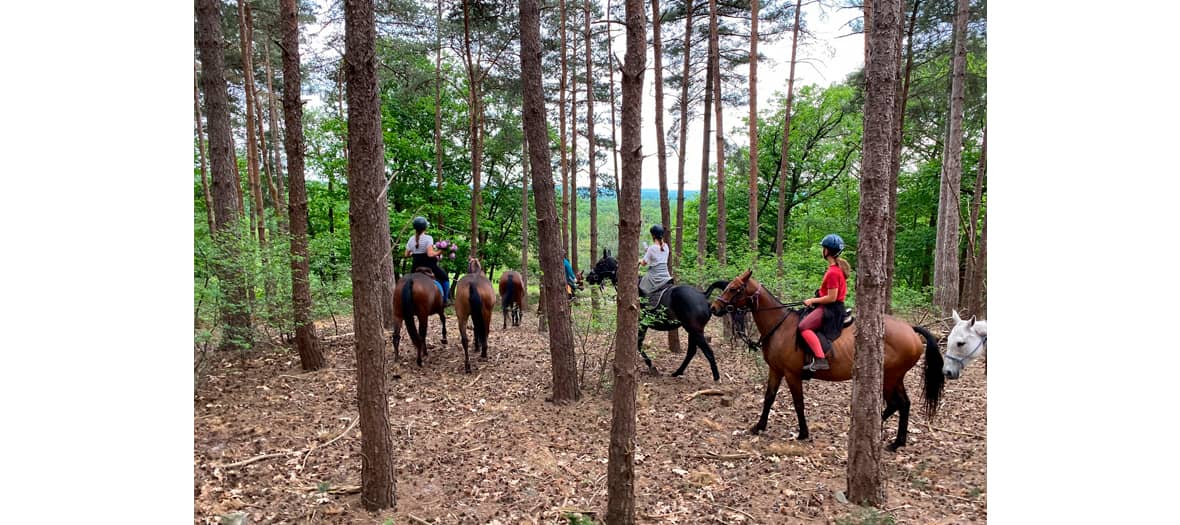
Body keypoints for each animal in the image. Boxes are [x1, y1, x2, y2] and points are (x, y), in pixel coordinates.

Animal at [703, 270, 943, 450]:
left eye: (734, 288)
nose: (714, 307)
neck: (780, 326)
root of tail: (911, 329)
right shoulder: (776, 370)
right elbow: (769, 398)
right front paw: (759, 426)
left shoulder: (791, 374)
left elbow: (798, 403)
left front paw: (803, 432)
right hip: (895, 377)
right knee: (903, 404)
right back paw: (895, 441)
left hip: (889, 377)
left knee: (897, 404)